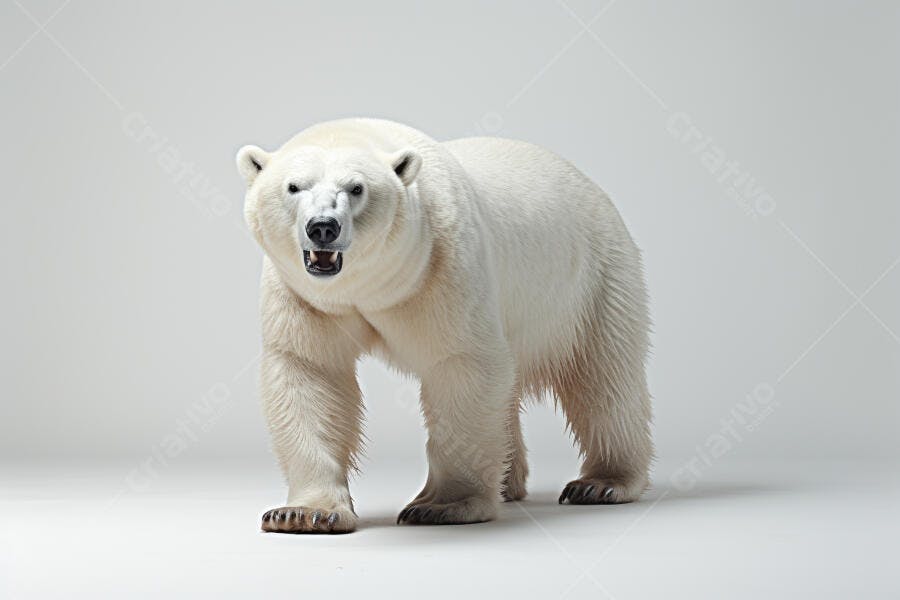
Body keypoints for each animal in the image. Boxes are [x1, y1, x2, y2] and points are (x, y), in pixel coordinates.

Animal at [236, 118, 652, 533]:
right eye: (294, 186)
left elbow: (463, 364)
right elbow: (310, 372)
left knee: (603, 378)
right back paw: (507, 481)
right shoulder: (305, 296)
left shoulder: (442, 263)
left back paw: (602, 482)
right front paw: (302, 513)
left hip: (593, 279)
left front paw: (443, 506)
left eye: (356, 188)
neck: (368, 287)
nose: (323, 227)